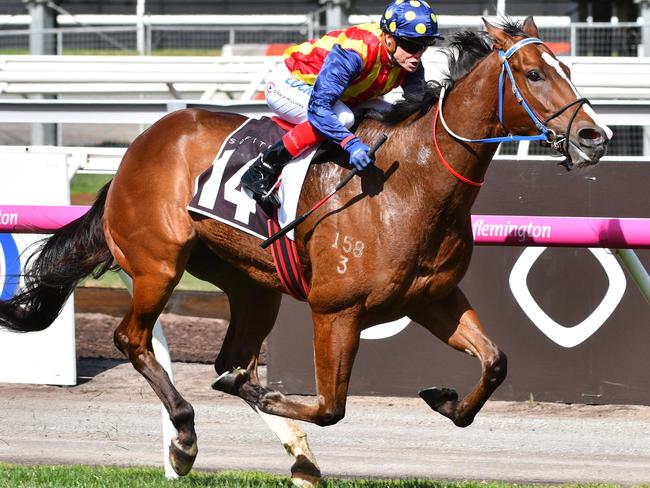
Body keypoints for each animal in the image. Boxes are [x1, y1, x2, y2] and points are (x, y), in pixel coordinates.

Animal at [0, 17, 608, 486]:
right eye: (534, 74)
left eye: (568, 69)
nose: (594, 137)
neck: (411, 185)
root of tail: (140, 145)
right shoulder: (335, 310)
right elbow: (331, 406)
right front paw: (264, 402)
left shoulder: (432, 298)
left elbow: (495, 362)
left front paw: (444, 399)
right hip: (157, 264)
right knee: (134, 340)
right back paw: (185, 440)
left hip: (253, 285)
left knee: (229, 360)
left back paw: (293, 452)